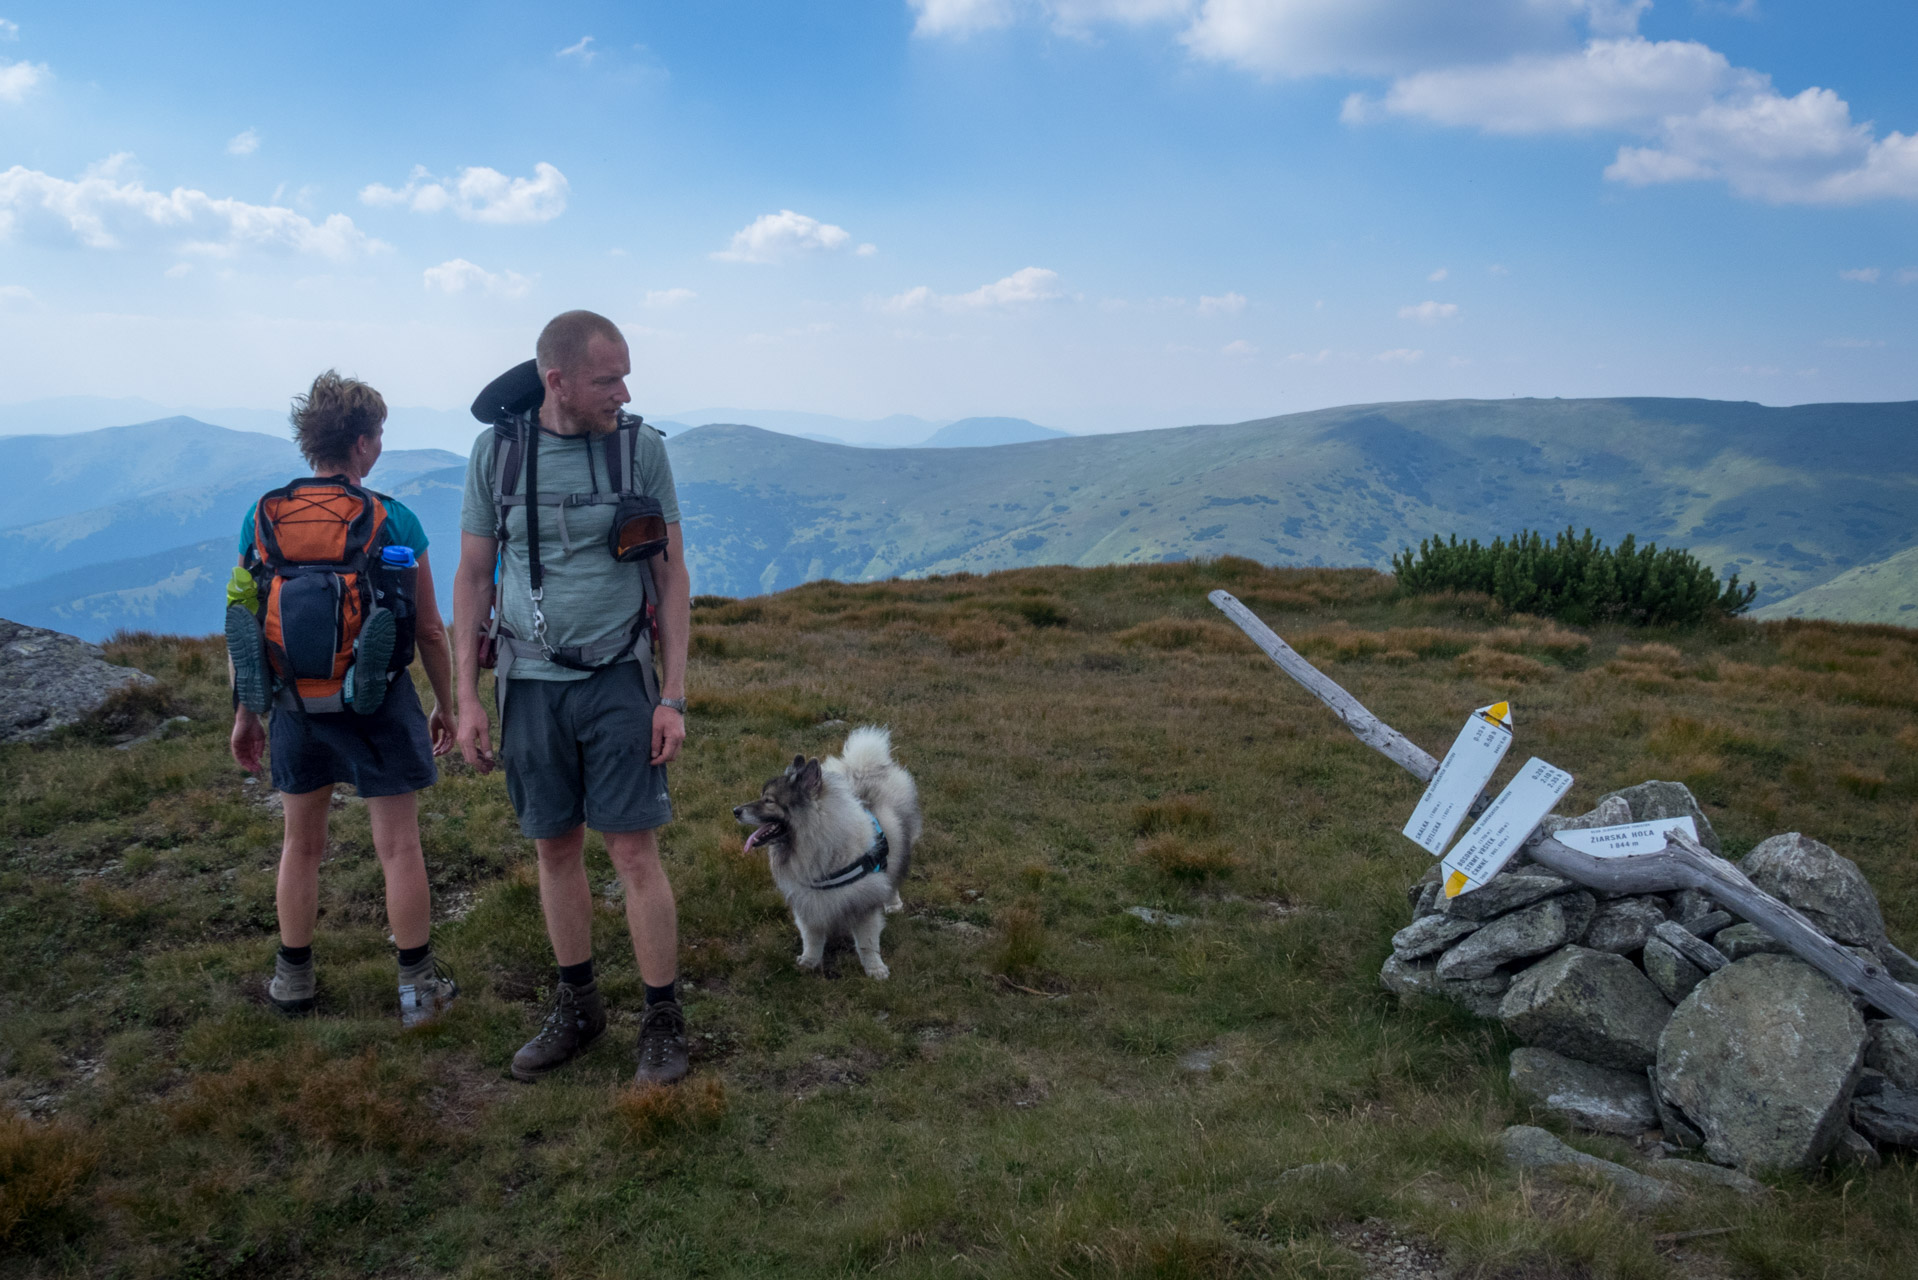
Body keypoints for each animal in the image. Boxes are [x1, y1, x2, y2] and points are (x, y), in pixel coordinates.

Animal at [732, 729, 920, 982]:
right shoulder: (808, 901)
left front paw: (875, 969)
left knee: (893, 877)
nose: (735, 811)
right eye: (762, 797)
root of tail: (864, 768)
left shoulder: (864, 903)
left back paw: (893, 903)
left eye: (769, 801)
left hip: (900, 845)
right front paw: (809, 962)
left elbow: (867, 943)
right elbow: (812, 937)